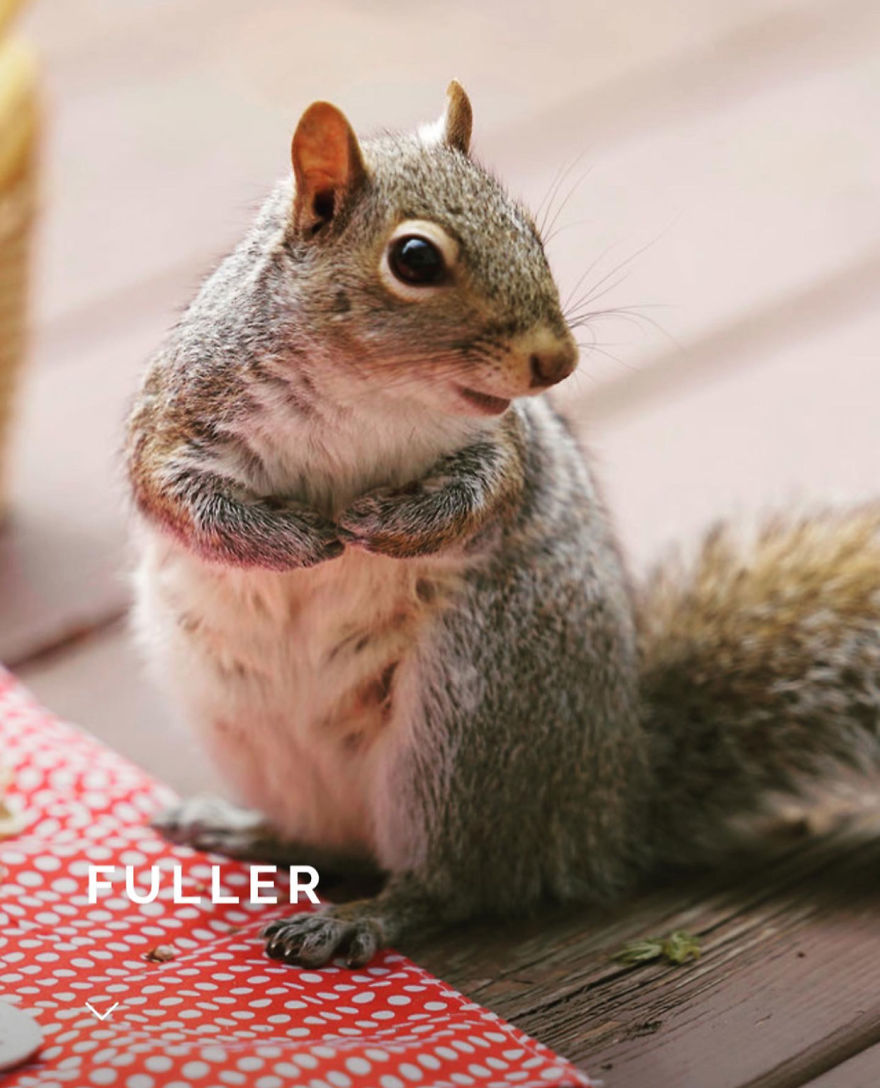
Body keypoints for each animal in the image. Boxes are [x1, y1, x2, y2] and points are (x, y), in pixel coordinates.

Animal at [125, 81, 880, 969]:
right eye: (415, 260)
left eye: (529, 229)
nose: (559, 363)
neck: (364, 395)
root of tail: (608, 806)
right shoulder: (178, 417)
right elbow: (177, 500)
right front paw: (303, 541)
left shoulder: (506, 448)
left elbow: (486, 495)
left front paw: (382, 525)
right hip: (255, 721)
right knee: (331, 840)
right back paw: (244, 828)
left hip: (473, 722)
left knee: (450, 884)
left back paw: (359, 916)